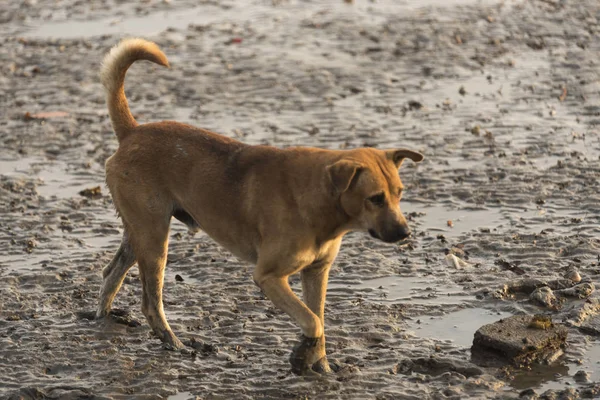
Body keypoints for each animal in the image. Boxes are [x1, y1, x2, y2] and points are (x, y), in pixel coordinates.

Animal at [97, 39, 422, 374]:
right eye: (375, 198)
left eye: (399, 194)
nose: (405, 233)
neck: (320, 200)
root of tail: (132, 131)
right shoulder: (268, 276)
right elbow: (313, 321)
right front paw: (303, 354)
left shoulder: (317, 272)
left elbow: (317, 317)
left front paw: (320, 366)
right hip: (154, 239)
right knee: (150, 301)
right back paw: (173, 343)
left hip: (140, 232)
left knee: (111, 272)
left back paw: (104, 317)